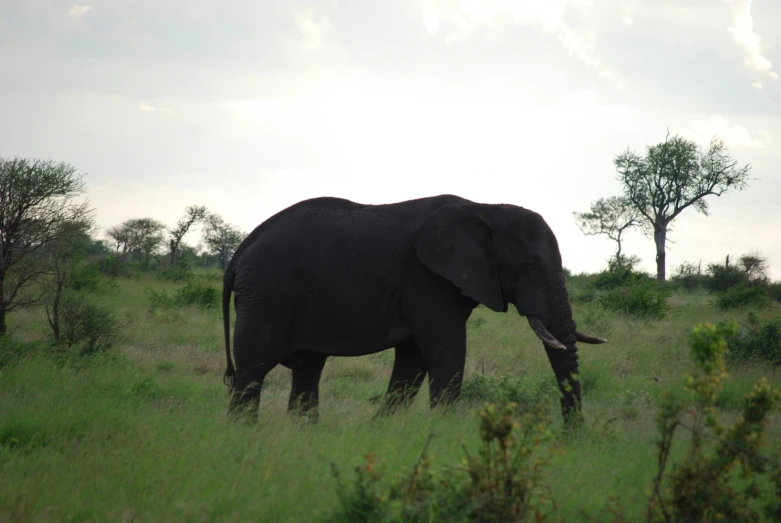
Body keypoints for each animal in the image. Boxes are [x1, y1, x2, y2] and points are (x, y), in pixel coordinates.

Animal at [222, 194, 608, 424]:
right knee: (253, 369)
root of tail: (239, 253)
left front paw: (382, 431)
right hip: (267, 295)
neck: (483, 208)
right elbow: (445, 351)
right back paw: (244, 435)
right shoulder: (427, 280)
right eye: (528, 266)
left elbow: (412, 361)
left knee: (307, 370)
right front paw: (443, 436)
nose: (571, 438)